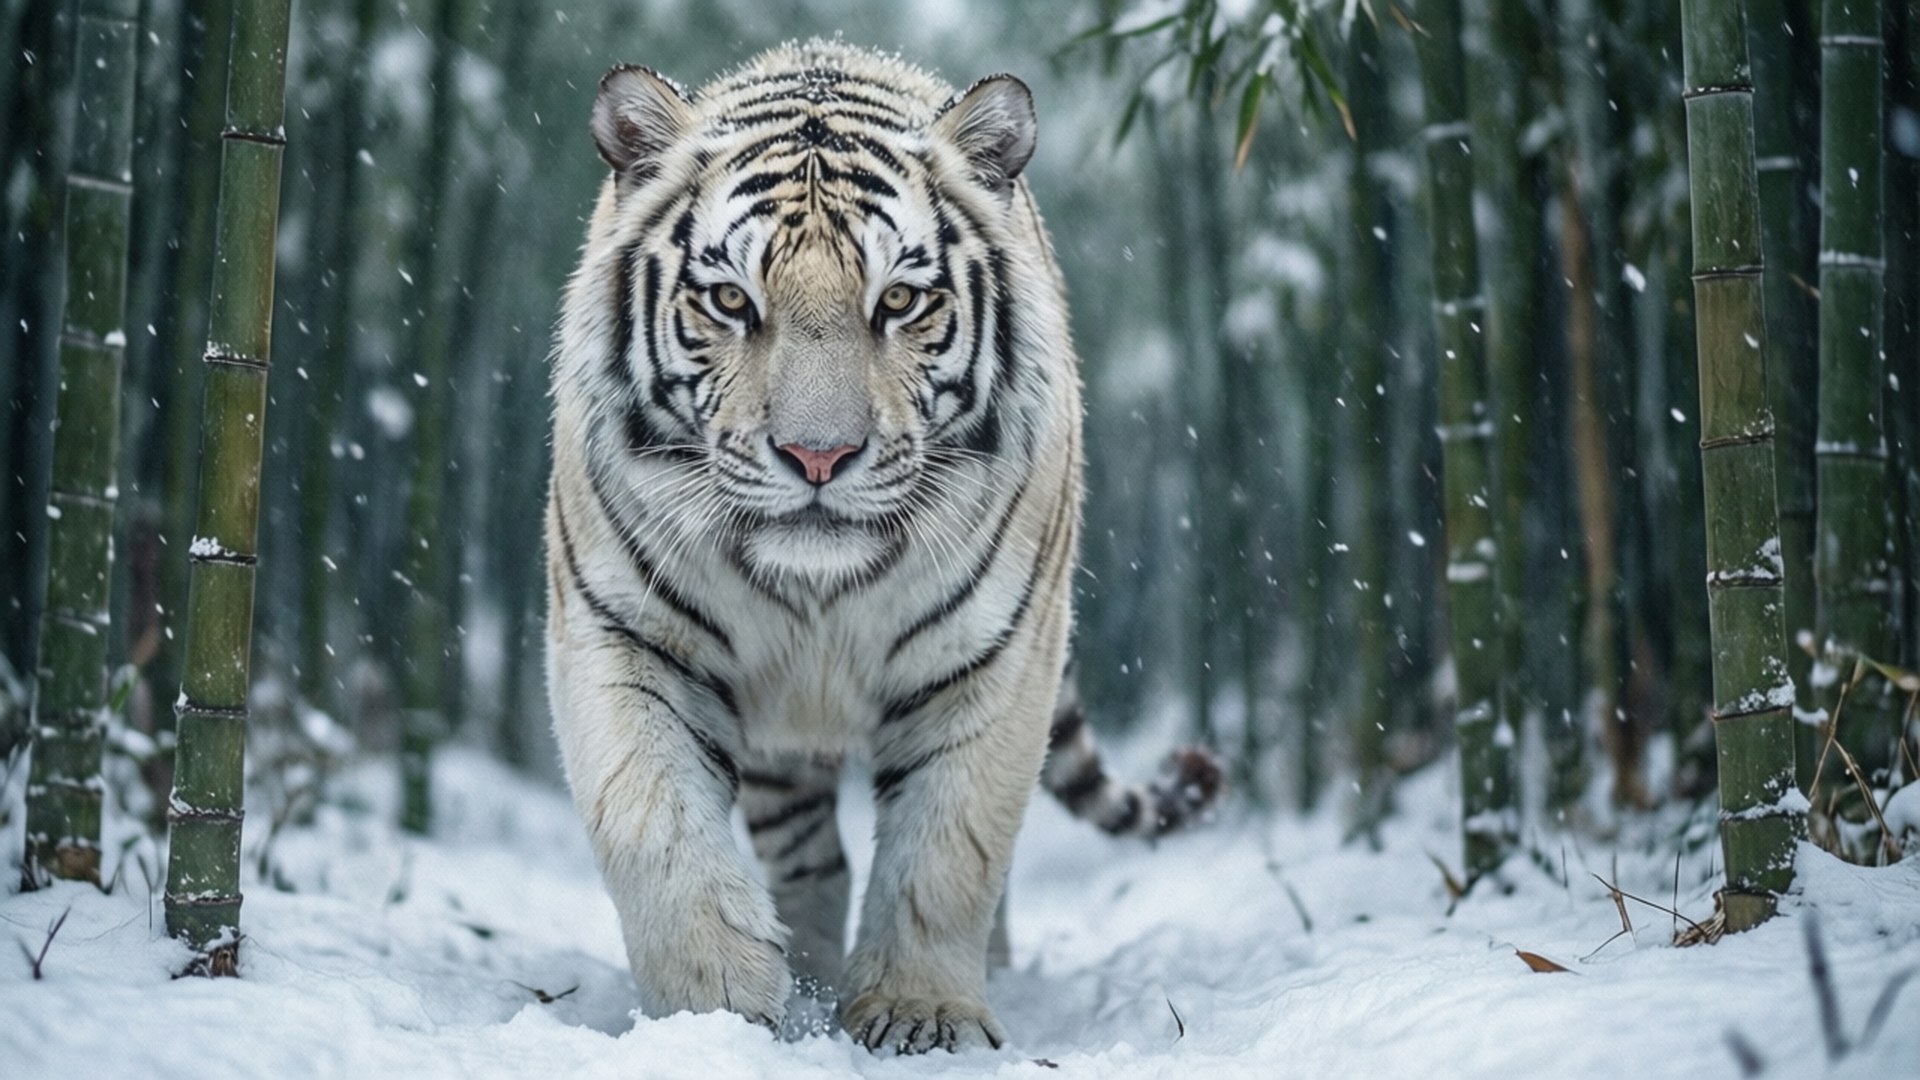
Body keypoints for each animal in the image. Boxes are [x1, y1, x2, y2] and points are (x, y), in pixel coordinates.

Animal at [544, 40, 1221, 1054]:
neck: (820, 595)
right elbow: (648, 819)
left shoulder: (996, 655)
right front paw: (719, 1003)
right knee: (805, 854)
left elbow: (950, 845)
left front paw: (921, 1013)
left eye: (899, 300)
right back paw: (810, 974)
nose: (818, 455)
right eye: (731, 300)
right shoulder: (619, 630)